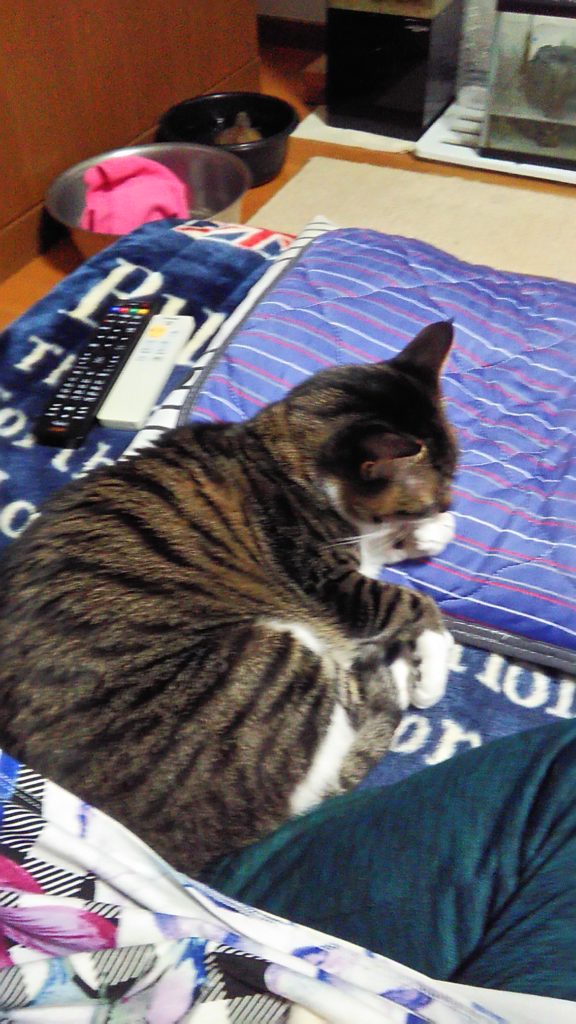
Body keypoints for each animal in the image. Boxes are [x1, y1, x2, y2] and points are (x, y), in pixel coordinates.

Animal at [0, 320, 457, 877]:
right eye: (439, 489)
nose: (447, 505)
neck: (286, 450)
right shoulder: (328, 584)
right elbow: (411, 603)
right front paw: (432, 665)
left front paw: (429, 533)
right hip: (271, 657)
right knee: (349, 713)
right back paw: (397, 674)